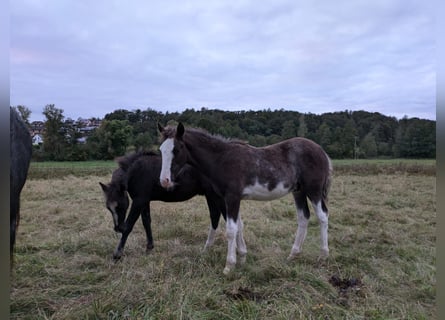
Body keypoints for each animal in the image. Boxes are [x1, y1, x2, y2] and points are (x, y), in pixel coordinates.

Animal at [99, 151, 227, 260]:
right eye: (108, 208)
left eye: (119, 206)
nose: (117, 228)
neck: (136, 170)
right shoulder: (145, 200)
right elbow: (146, 221)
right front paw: (149, 247)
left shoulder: (138, 200)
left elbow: (129, 225)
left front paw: (117, 254)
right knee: (217, 217)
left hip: (215, 196)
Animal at [158, 122, 332, 276]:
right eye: (161, 150)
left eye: (177, 149)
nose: (164, 181)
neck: (221, 159)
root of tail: (321, 151)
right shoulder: (229, 199)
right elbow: (239, 226)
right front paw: (242, 259)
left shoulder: (232, 198)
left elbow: (231, 230)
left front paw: (229, 266)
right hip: (299, 192)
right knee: (303, 217)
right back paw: (293, 255)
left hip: (313, 190)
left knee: (322, 216)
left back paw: (323, 256)